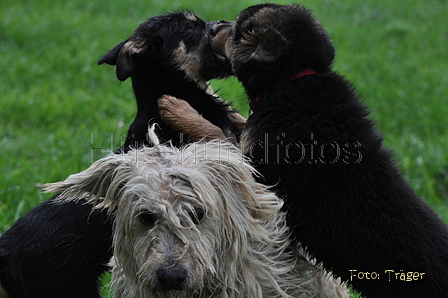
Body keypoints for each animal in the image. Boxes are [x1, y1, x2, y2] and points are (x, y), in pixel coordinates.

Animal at [159, 3, 448, 296]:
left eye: (236, 30)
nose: (216, 25)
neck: (291, 80)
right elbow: (240, 123)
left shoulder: (257, 167)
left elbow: (216, 134)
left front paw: (177, 108)